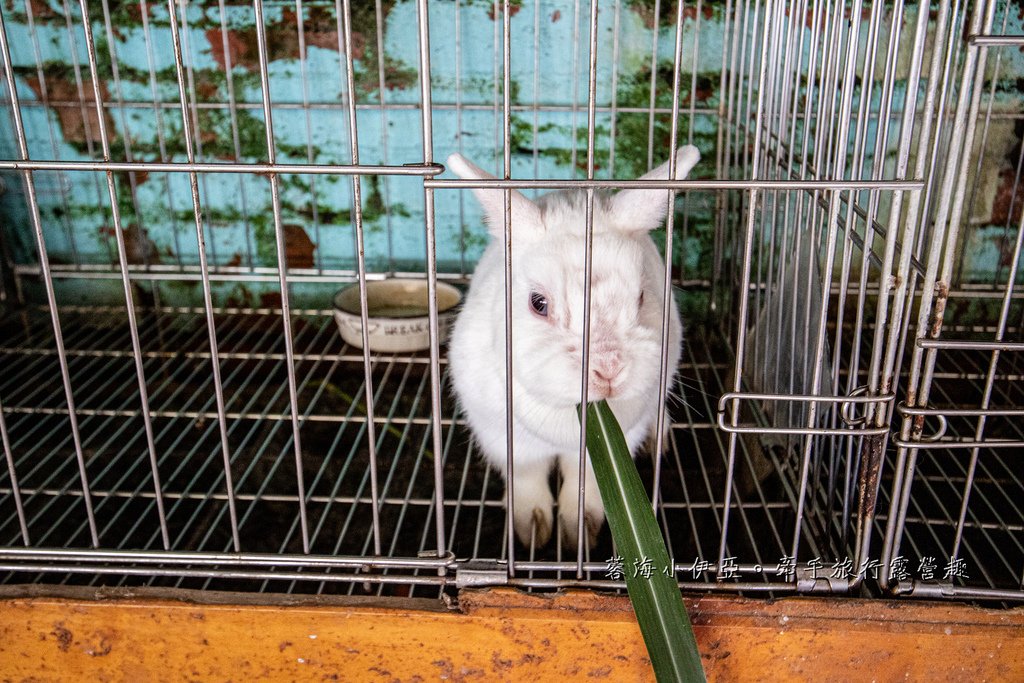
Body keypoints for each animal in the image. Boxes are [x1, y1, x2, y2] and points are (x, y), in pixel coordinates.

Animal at [450, 144, 700, 548]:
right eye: (538, 303)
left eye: (641, 297)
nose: (609, 368)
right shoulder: (504, 439)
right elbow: (527, 478)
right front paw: (533, 529)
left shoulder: (616, 441)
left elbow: (586, 488)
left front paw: (580, 531)